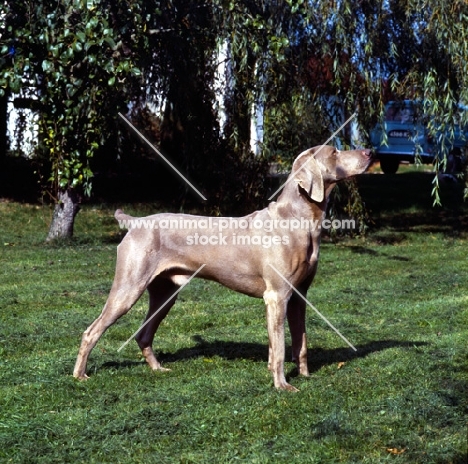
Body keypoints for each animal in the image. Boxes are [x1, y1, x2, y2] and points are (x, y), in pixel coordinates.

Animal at [74, 146, 372, 392]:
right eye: (334, 152)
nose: (370, 152)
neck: (297, 220)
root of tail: (136, 222)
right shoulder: (277, 296)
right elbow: (279, 346)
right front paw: (282, 385)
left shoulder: (299, 296)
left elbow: (300, 343)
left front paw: (306, 377)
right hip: (128, 287)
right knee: (91, 331)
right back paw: (80, 375)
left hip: (165, 293)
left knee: (143, 334)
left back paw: (158, 369)